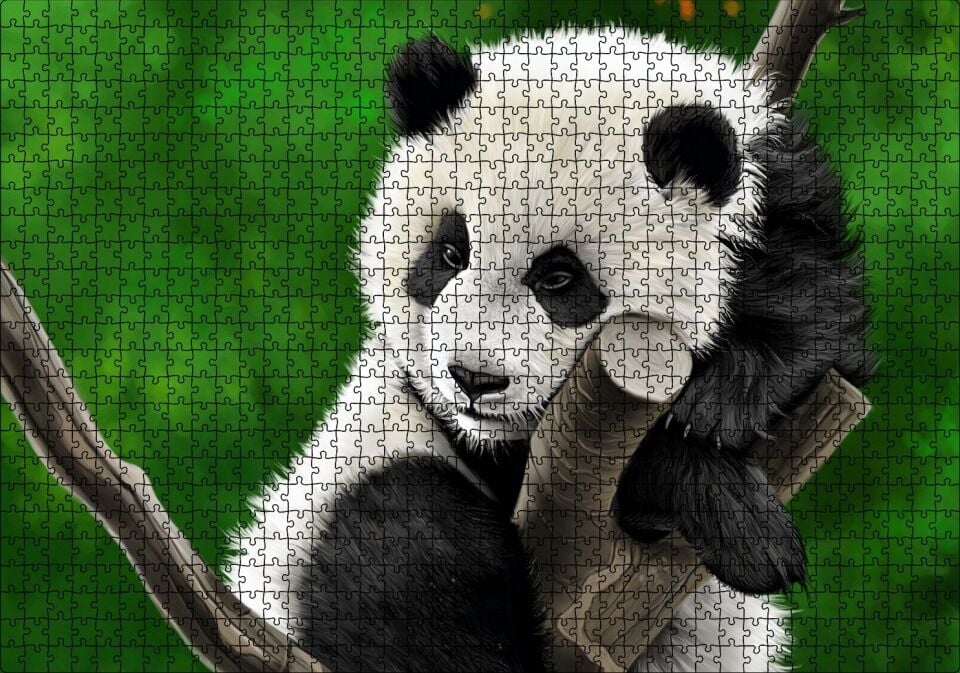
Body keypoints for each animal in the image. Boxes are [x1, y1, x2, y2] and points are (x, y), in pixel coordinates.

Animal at [228, 26, 872, 672]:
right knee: (408, 552)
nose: (475, 379)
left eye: (559, 278)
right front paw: (743, 523)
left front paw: (723, 402)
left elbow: (813, 322)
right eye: (450, 254)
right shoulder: (448, 424)